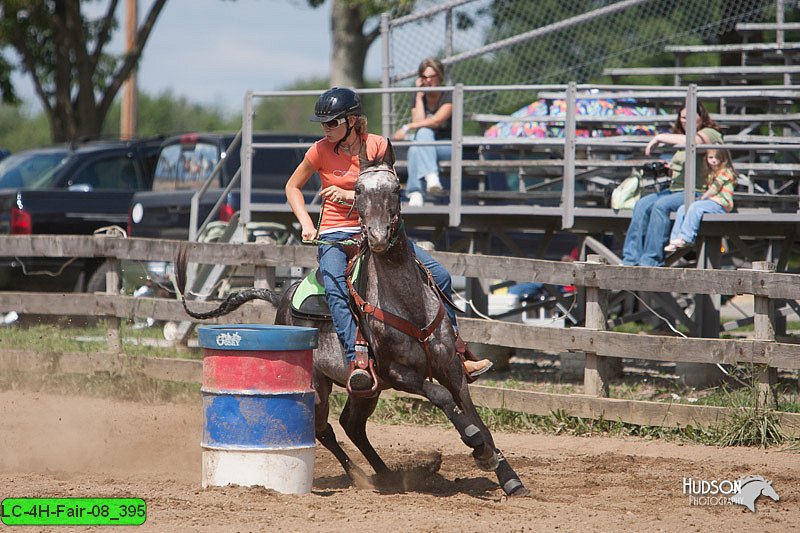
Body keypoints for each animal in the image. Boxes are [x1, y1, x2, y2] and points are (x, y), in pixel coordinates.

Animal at [180, 140, 532, 494]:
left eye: (397, 187)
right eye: (359, 189)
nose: (377, 236)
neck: (410, 306)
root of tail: (282, 297)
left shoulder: (451, 367)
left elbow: (474, 414)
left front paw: (506, 474)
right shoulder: (399, 374)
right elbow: (444, 398)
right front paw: (476, 445)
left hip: (365, 390)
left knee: (351, 424)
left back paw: (386, 475)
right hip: (320, 385)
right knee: (324, 428)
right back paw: (363, 476)